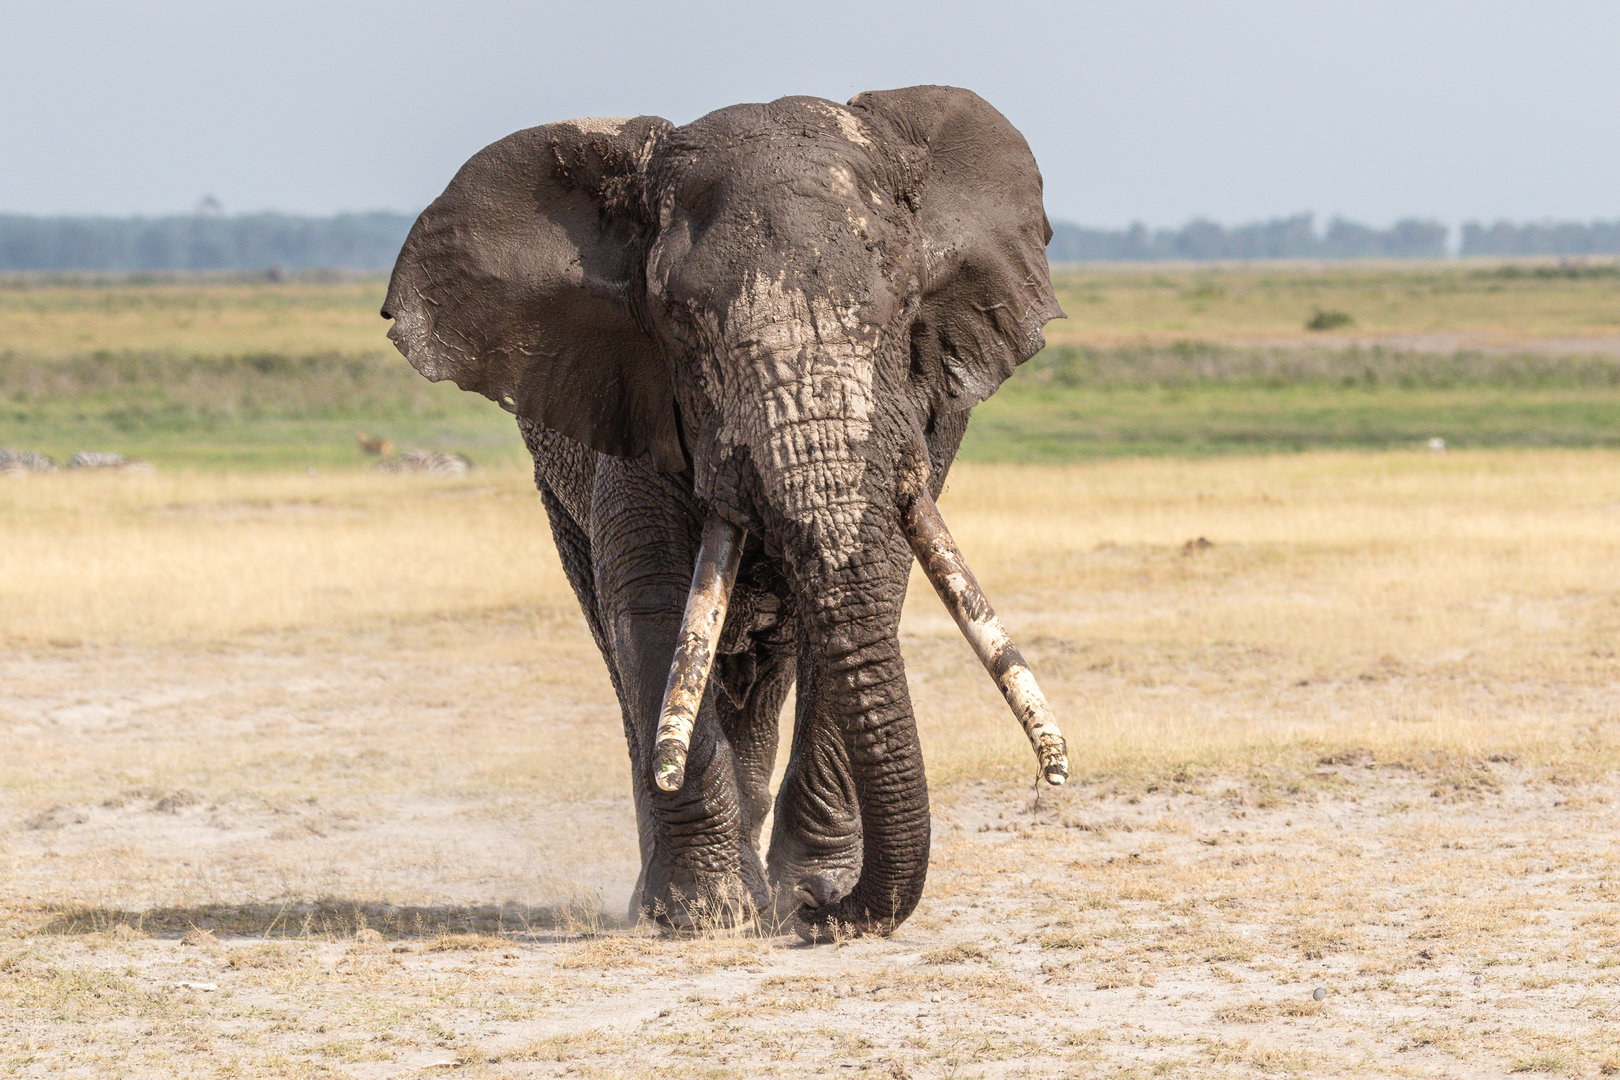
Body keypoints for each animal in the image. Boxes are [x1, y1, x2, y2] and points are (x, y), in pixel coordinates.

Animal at [382, 85, 1069, 940]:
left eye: (904, 309)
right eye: (680, 323)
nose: (825, 916)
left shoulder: (928, 419)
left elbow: (873, 590)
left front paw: (807, 894)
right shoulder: (629, 399)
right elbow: (652, 607)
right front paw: (709, 915)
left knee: (767, 665)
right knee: (632, 650)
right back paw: (677, 896)